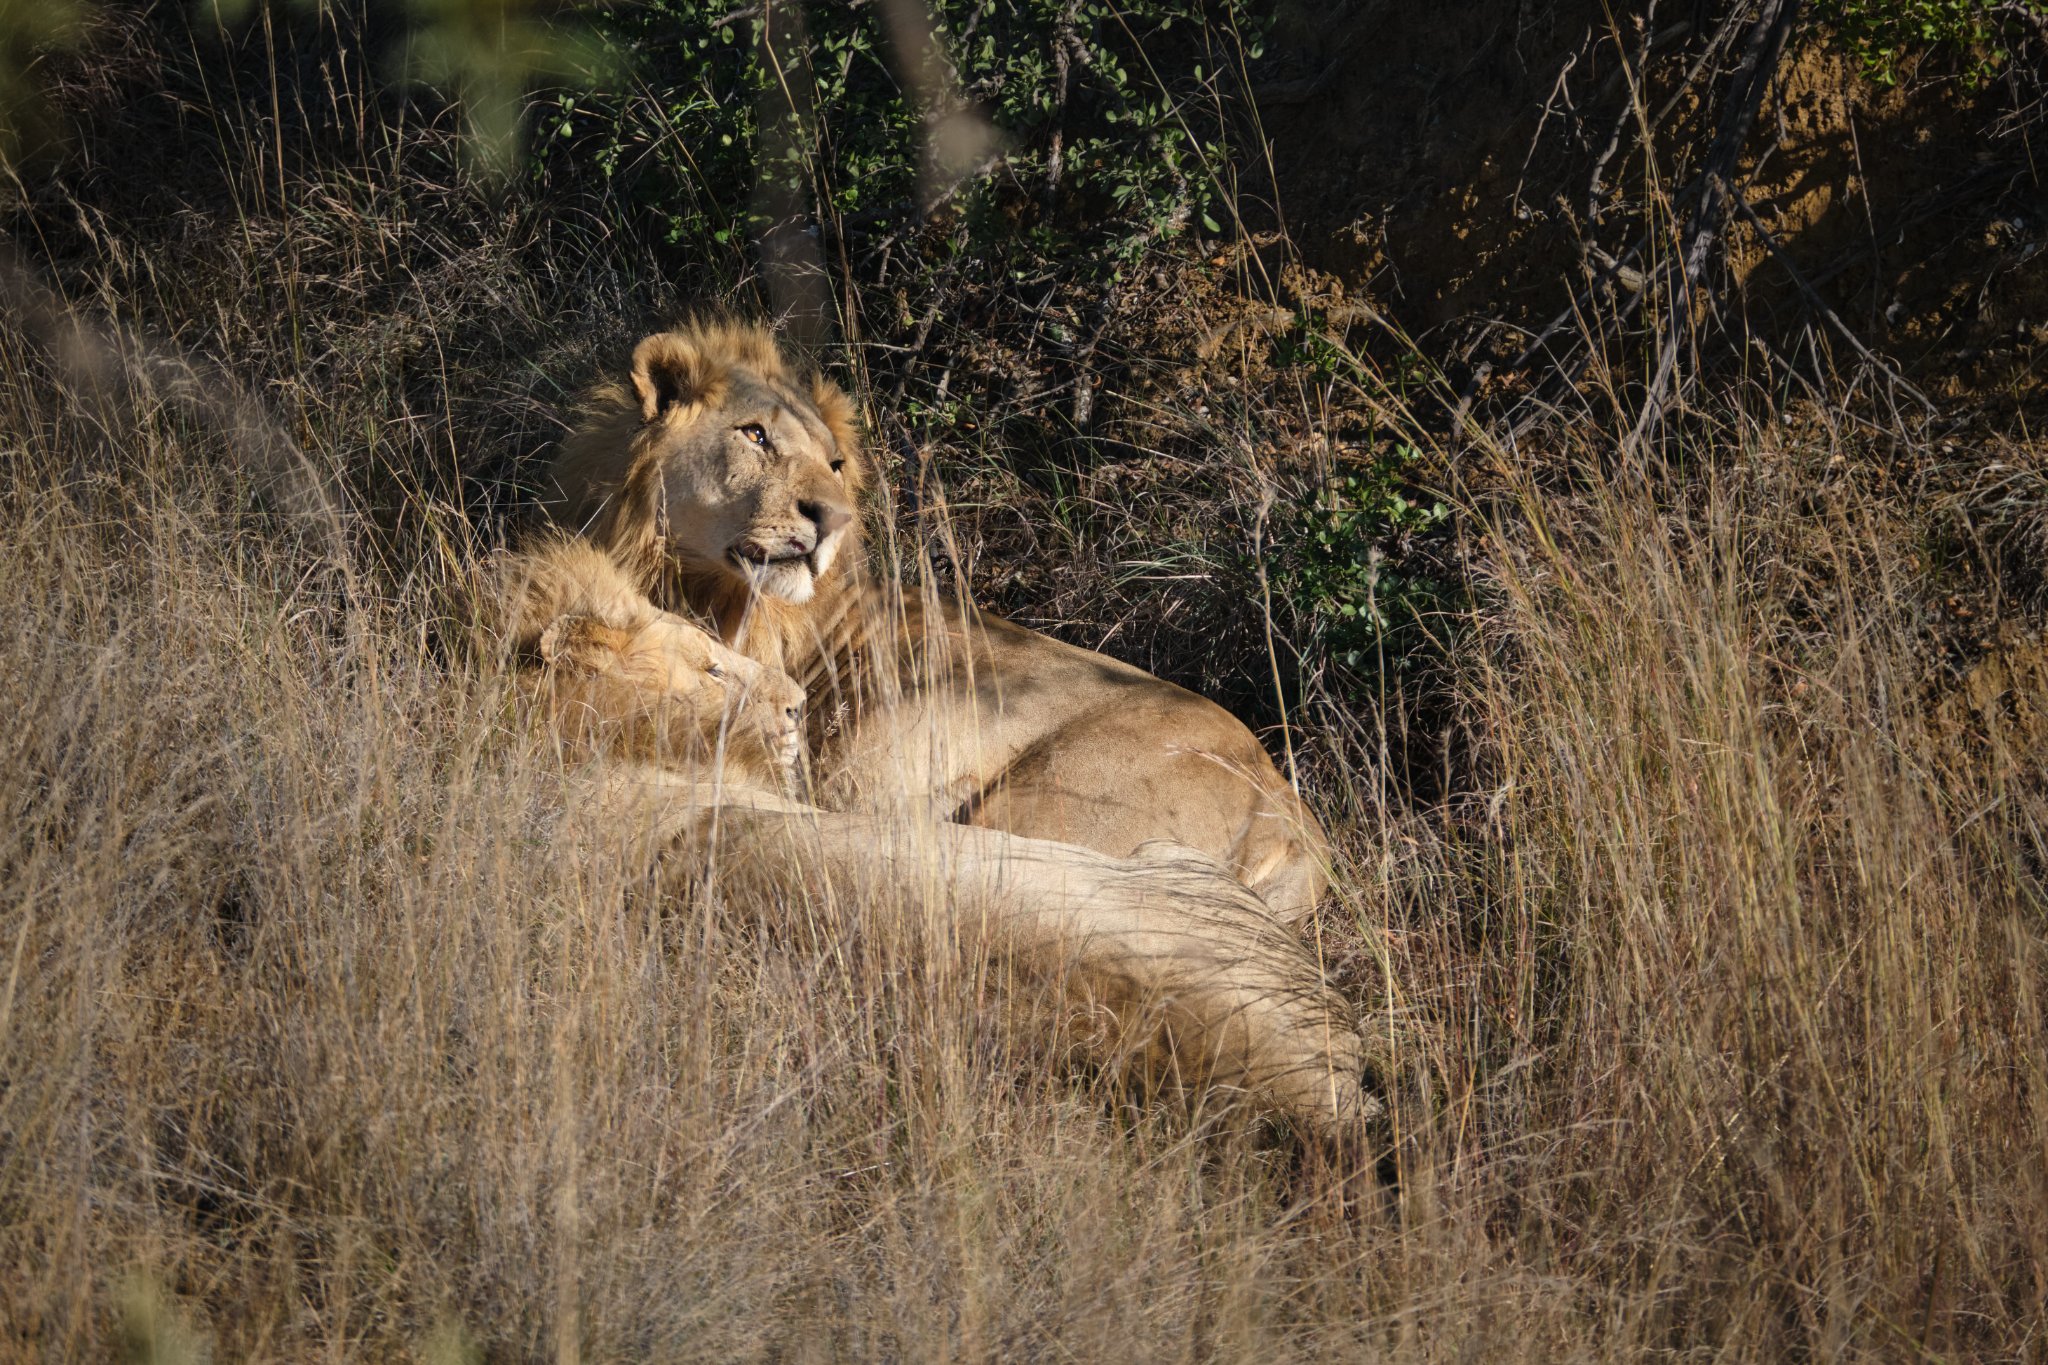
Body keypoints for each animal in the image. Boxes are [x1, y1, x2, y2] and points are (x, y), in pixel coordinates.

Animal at [546, 319, 1333, 923]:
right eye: (756, 436)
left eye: (834, 463)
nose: (831, 518)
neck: (698, 580)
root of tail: (1295, 822)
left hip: (1043, 812)